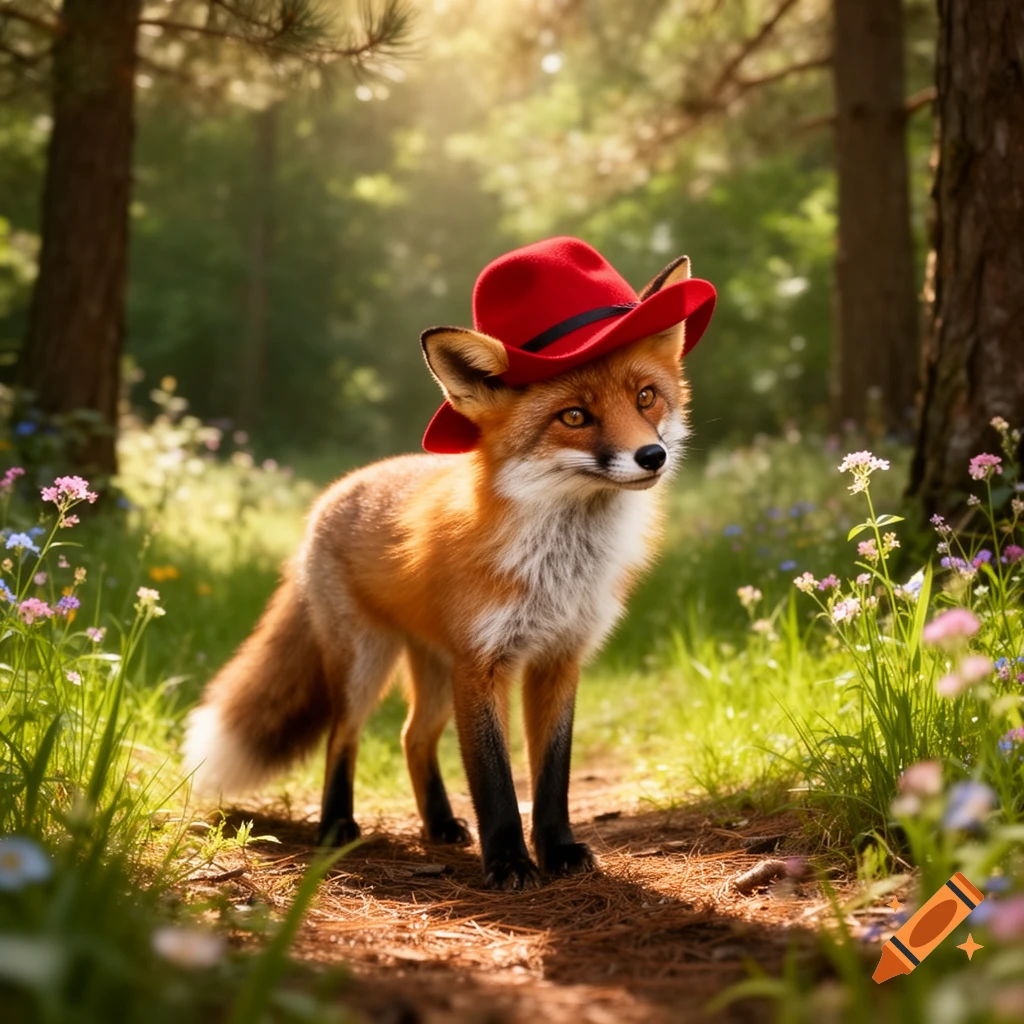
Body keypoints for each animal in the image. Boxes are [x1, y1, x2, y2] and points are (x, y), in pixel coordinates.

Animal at [183, 240, 713, 889]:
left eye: (645, 397)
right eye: (573, 417)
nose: (652, 455)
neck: (560, 567)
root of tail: (338, 490)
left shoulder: (559, 660)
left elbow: (552, 777)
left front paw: (559, 851)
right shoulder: (482, 666)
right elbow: (495, 781)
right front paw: (509, 862)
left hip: (434, 671)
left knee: (413, 738)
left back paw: (438, 824)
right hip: (367, 664)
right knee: (342, 737)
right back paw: (337, 827)